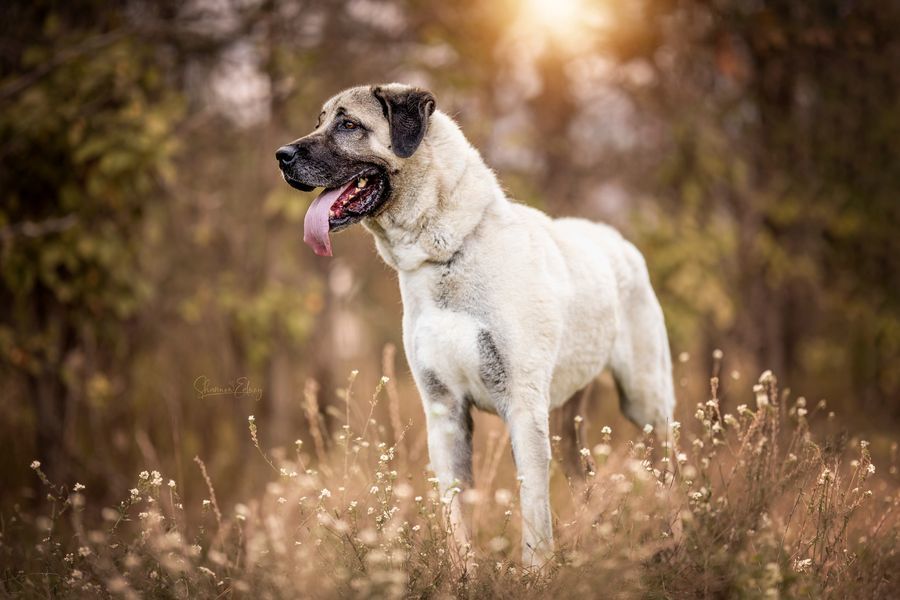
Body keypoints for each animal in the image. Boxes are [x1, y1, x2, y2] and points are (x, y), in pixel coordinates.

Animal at [274, 83, 676, 568]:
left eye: (349, 124)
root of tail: (616, 239)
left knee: (670, 468)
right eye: (319, 121)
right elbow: (455, 512)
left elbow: (533, 510)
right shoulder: (445, 411)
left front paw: (535, 573)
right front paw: (463, 571)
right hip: (566, 421)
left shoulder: (522, 407)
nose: (281, 155)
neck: (446, 253)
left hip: (646, 401)